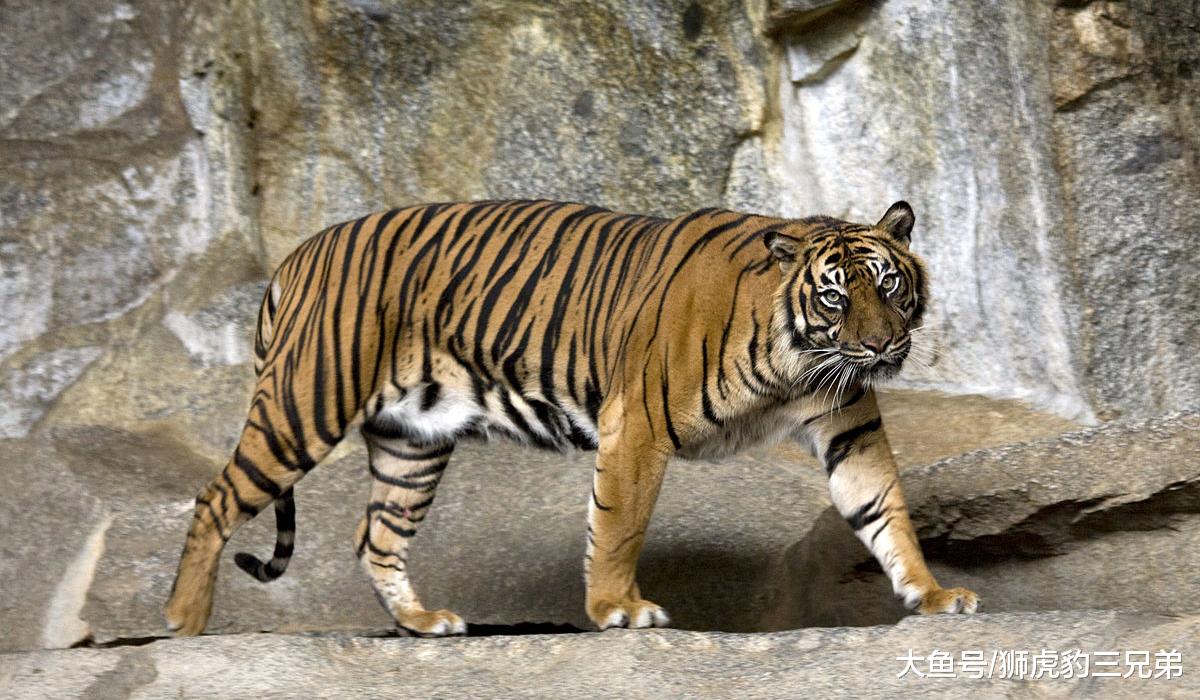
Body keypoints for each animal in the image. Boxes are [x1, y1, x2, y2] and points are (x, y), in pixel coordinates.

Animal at [165, 199, 979, 637]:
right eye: (836, 296)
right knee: (215, 499)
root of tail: (296, 255)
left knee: (377, 538)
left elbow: (886, 512)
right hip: (305, 403)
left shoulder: (850, 429)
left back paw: (424, 624)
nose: (882, 345)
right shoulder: (638, 423)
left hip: (411, 442)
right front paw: (618, 608)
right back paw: (184, 622)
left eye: (889, 285)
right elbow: (619, 525)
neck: (797, 361)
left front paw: (934, 595)